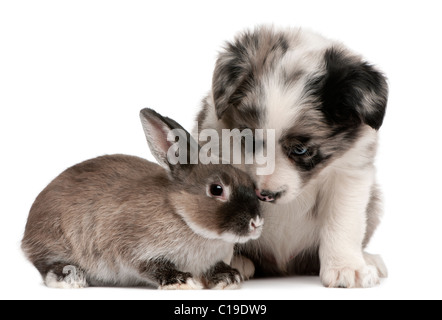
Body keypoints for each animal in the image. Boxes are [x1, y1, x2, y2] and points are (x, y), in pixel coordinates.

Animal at [21, 108, 262, 290]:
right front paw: (182, 281)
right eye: (217, 189)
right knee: (46, 265)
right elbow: (151, 267)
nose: (256, 222)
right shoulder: (131, 250)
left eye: (250, 183)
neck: (181, 214)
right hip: (54, 240)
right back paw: (70, 278)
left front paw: (228, 278)